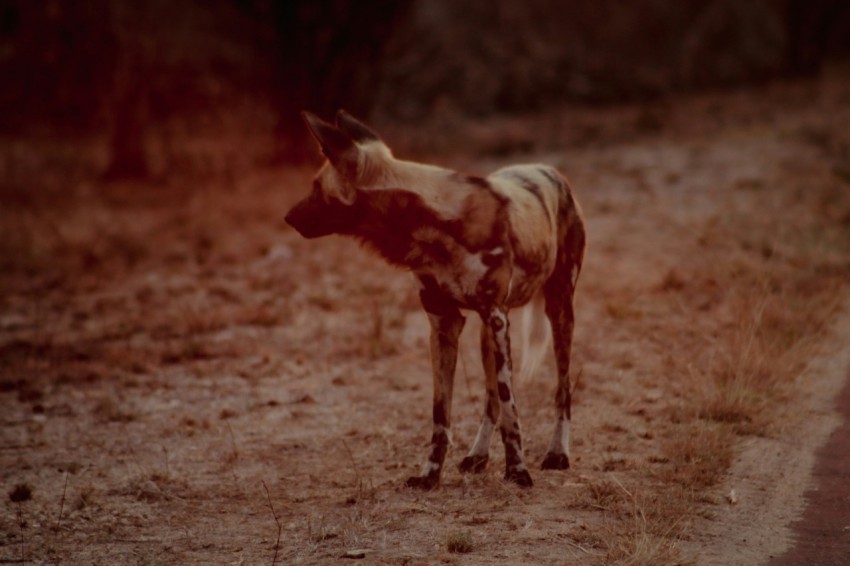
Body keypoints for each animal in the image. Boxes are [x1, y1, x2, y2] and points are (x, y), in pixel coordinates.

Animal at [284, 112, 584, 492]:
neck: (432, 225)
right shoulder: (444, 323)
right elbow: (442, 415)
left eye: (315, 187)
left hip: (557, 311)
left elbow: (511, 409)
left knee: (561, 390)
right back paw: (478, 455)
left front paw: (517, 471)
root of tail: (548, 169)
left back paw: (557, 454)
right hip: (489, 334)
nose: (288, 217)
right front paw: (430, 475)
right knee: (490, 399)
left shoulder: (494, 317)